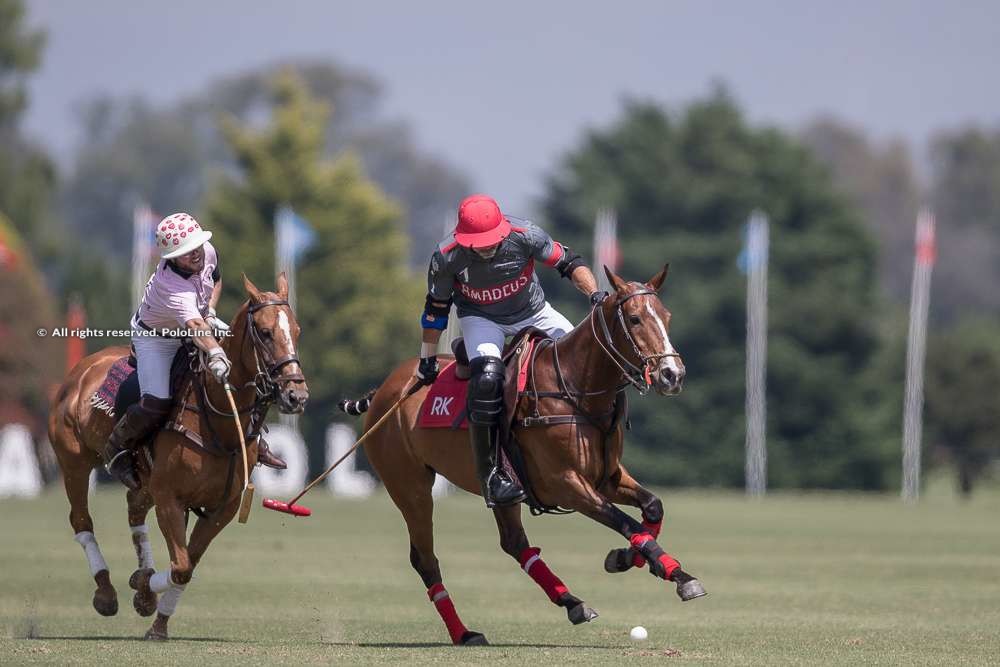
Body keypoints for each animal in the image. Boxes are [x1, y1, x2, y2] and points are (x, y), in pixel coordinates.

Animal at [48, 274, 306, 640]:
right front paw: (143, 591)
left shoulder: (222, 509)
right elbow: (181, 566)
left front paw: (153, 615)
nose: (296, 394)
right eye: (266, 331)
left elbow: (187, 565)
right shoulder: (170, 497)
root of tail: (82, 368)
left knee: (134, 509)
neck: (219, 422)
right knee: (81, 520)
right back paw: (106, 592)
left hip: (143, 481)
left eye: (296, 330)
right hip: (74, 461)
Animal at [340, 266, 708, 648]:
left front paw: (627, 559)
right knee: (425, 558)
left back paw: (572, 603)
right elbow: (627, 523)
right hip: (409, 486)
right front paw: (676, 574)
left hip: (501, 488)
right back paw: (464, 632)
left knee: (514, 542)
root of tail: (386, 389)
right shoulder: (567, 484)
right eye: (634, 319)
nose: (673, 375)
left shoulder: (606, 477)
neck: (576, 389)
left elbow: (652, 507)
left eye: (666, 316)